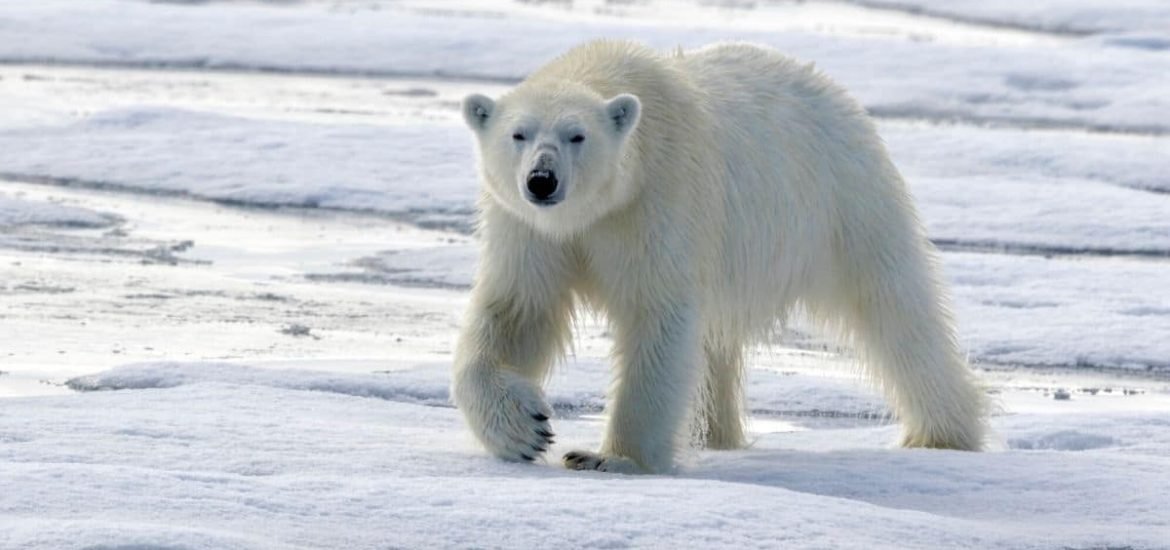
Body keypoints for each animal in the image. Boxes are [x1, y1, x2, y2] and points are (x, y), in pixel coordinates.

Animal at [451, 40, 982, 475]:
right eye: (519, 134)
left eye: (577, 135)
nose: (542, 180)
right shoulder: (529, 230)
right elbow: (518, 310)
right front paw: (525, 428)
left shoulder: (658, 199)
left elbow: (658, 316)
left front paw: (611, 458)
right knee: (716, 346)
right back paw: (716, 433)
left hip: (842, 204)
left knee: (896, 311)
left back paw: (943, 434)